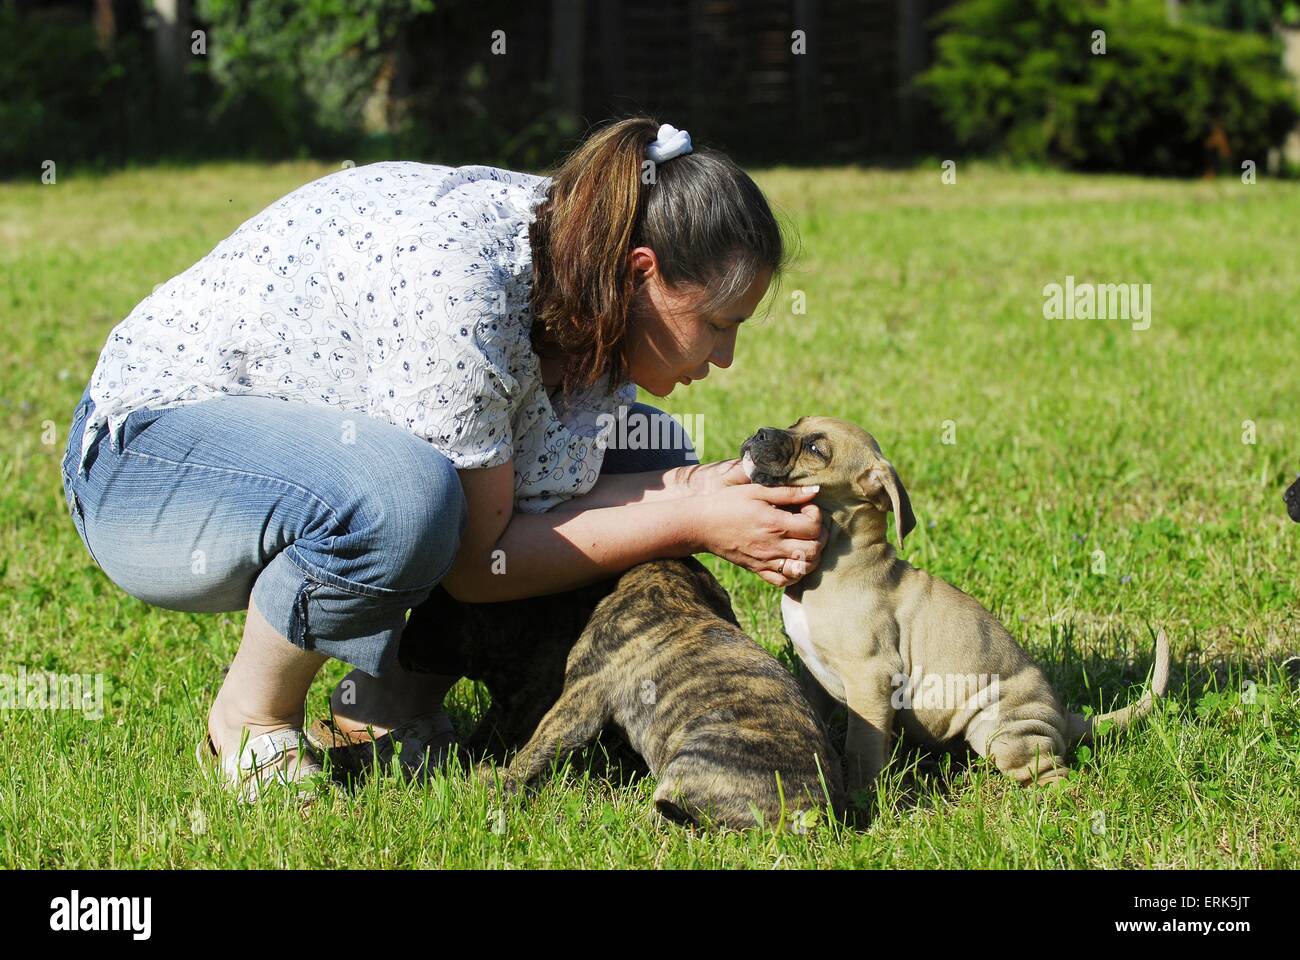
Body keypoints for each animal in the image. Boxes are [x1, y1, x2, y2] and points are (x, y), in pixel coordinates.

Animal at [738, 416, 1175, 790]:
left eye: (815, 448)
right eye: (795, 423)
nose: (759, 433)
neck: (841, 559)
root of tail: (1064, 716)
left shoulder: (871, 678)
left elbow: (862, 749)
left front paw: (863, 798)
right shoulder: (815, 676)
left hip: (999, 729)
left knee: (1051, 774)